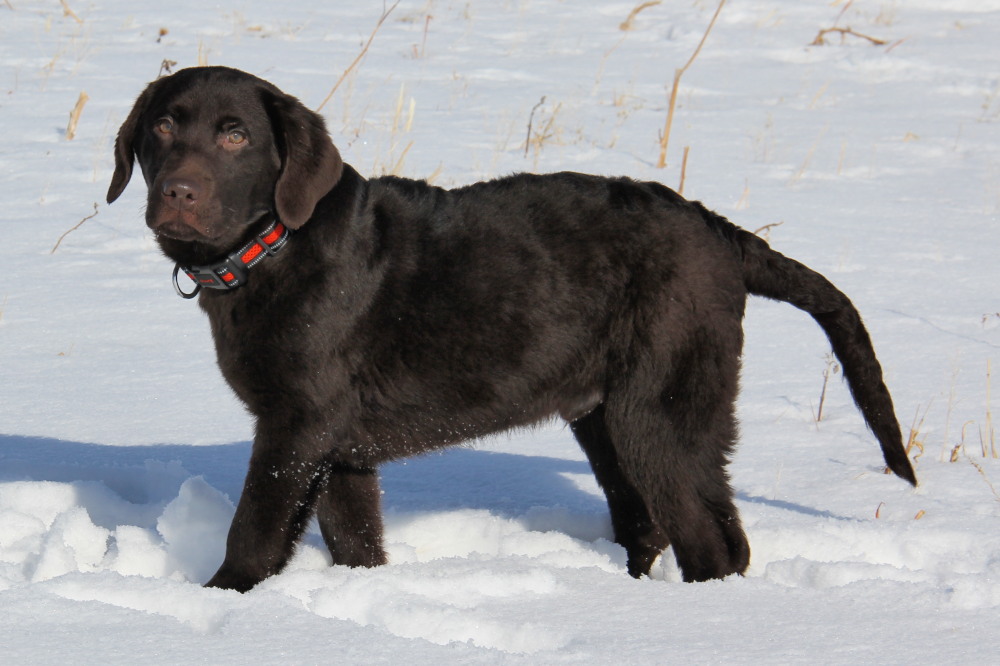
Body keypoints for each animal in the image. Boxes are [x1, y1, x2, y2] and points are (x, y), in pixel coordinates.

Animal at [107, 65, 916, 588]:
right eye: (162, 127)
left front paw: (221, 601)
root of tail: (724, 234)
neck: (271, 249)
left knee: (709, 542)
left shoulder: (295, 425)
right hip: (609, 417)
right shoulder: (341, 447)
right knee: (657, 524)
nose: (177, 192)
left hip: (658, 410)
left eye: (236, 135)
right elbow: (355, 538)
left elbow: (254, 532)